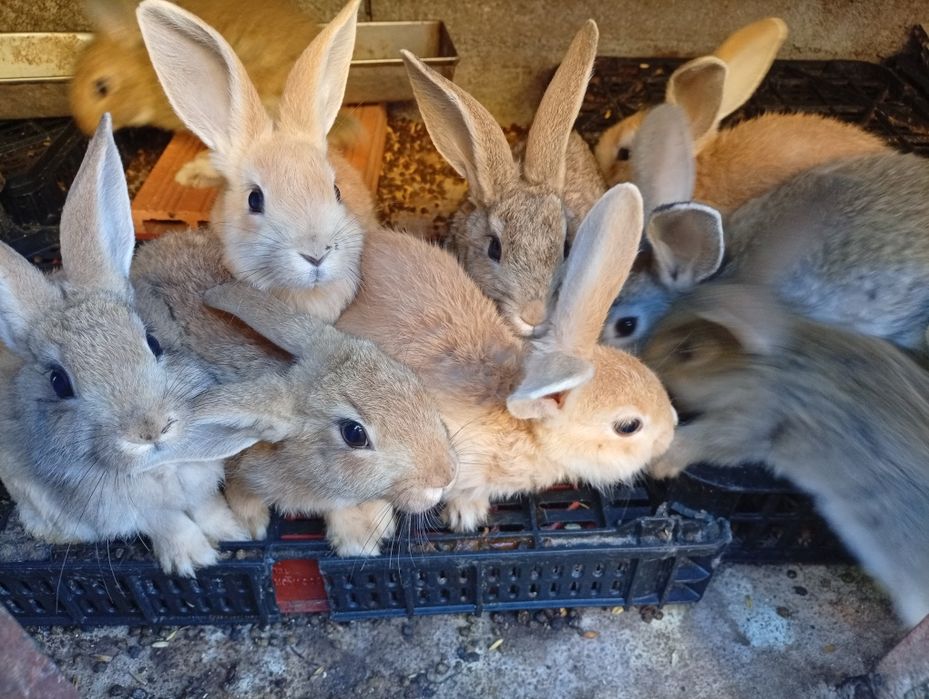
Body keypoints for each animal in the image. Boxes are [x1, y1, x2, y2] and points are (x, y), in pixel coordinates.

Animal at [0, 115, 264, 577]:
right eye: (58, 382)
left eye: (154, 342)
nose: (150, 429)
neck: (160, 464)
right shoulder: (133, 510)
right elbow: (169, 522)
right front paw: (193, 560)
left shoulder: (200, 481)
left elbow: (206, 506)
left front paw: (232, 534)